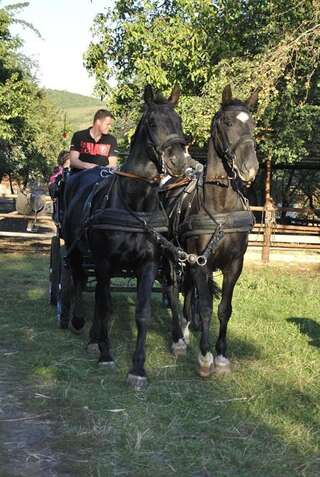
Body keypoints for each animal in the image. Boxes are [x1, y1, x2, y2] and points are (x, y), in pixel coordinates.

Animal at [62, 85, 188, 388]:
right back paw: (80, 323)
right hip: (75, 250)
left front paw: (138, 368)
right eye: (152, 122)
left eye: (178, 120)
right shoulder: (105, 263)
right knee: (78, 280)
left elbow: (142, 314)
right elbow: (105, 306)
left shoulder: (148, 265)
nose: (178, 161)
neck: (135, 203)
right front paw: (106, 354)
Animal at [166, 84, 258, 376]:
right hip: (171, 258)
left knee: (187, 292)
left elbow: (224, 309)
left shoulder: (233, 264)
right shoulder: (201, 264)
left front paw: (221, 356)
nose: (250, 168)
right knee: (173, 292)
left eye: (252, 123)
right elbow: (206, 308)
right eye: (227, 122)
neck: (221, 210)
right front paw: (205, 356)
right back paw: (178, 339)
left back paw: (186, 330)